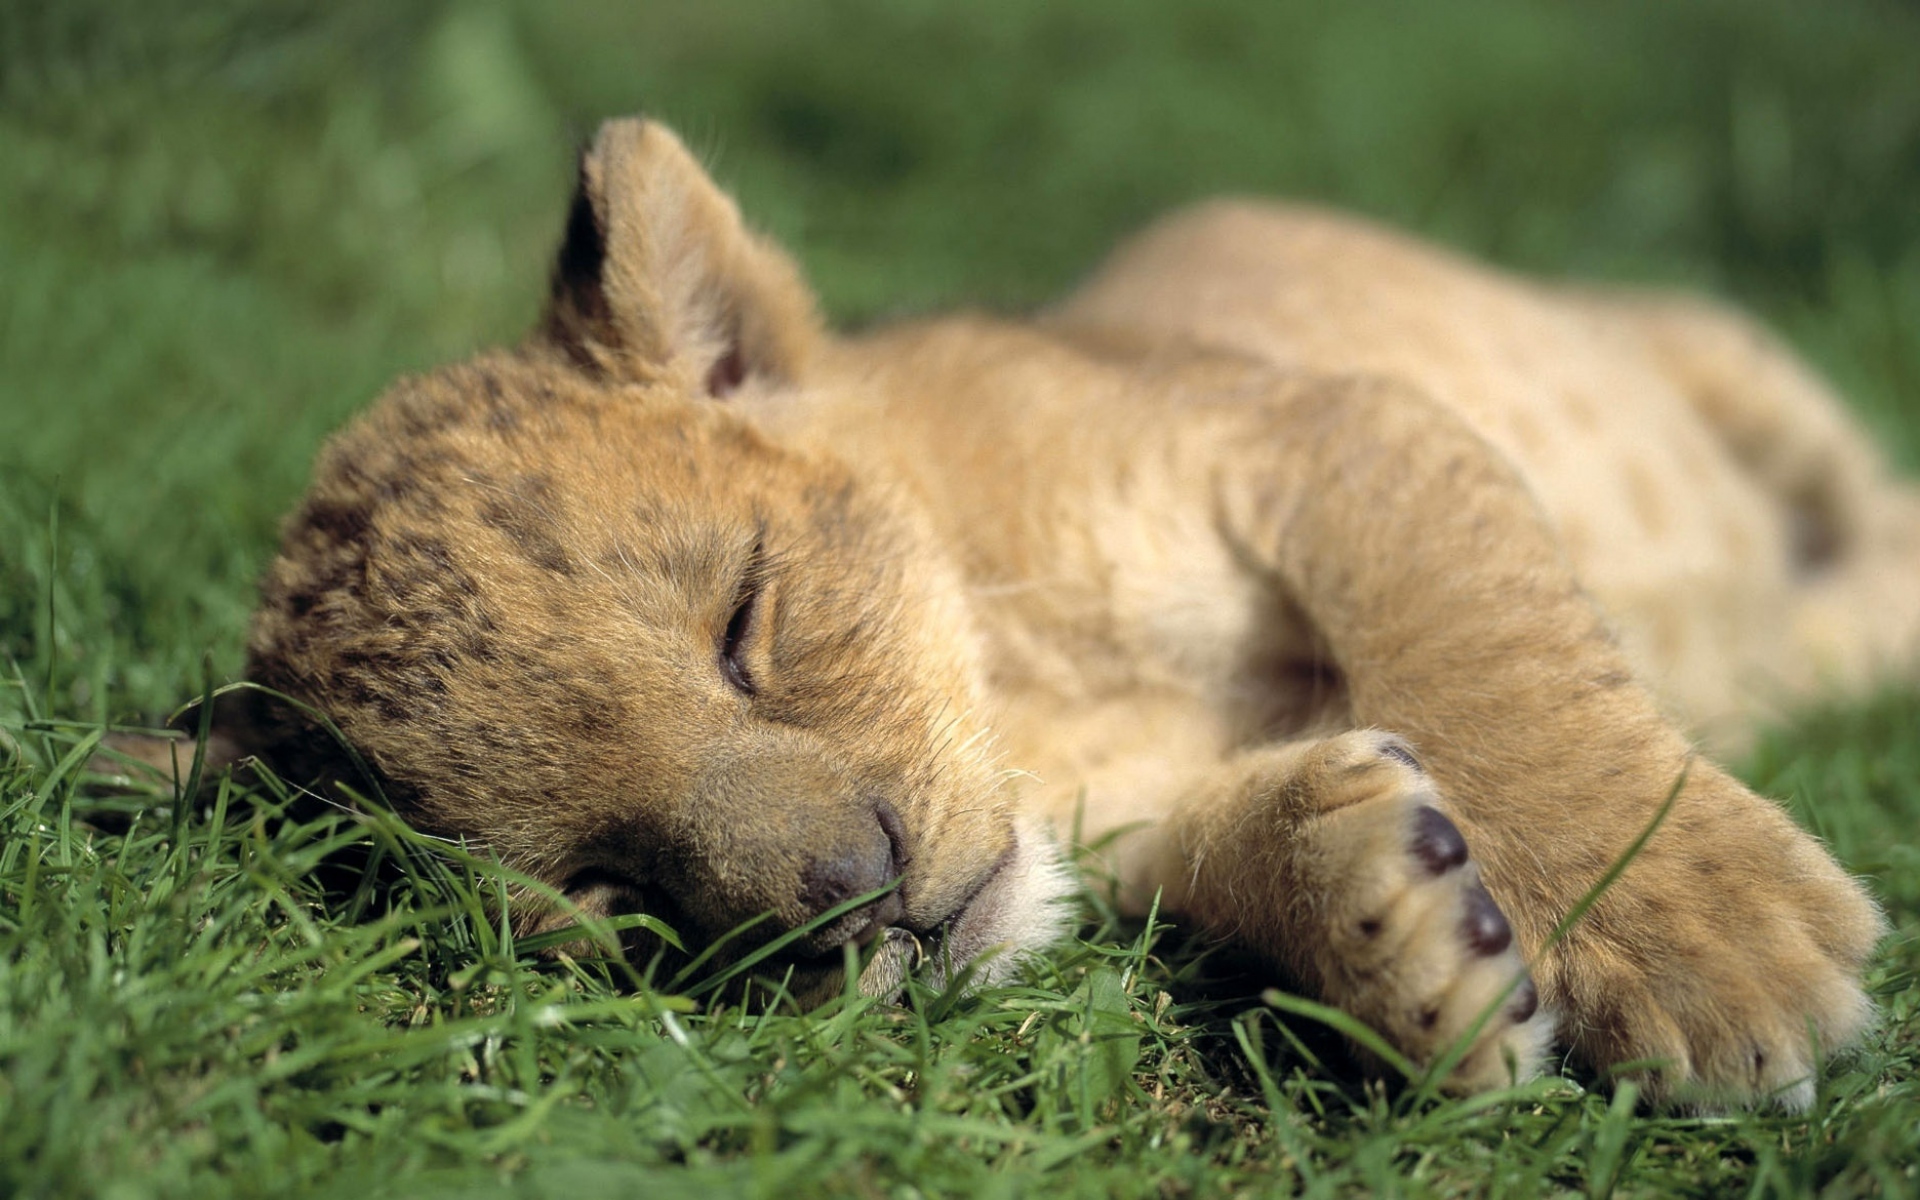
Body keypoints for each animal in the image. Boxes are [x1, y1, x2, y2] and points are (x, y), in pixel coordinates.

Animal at [228, 117, 1915, 1107]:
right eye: (604, 885)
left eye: (744, 623)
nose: (855, 904)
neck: (1031, 696)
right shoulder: (1138, 826)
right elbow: (1244, 842)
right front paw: (1404, 929)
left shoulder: (1323, 427)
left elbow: (1491, 661)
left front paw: (1704, 951)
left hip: (1721, 357)